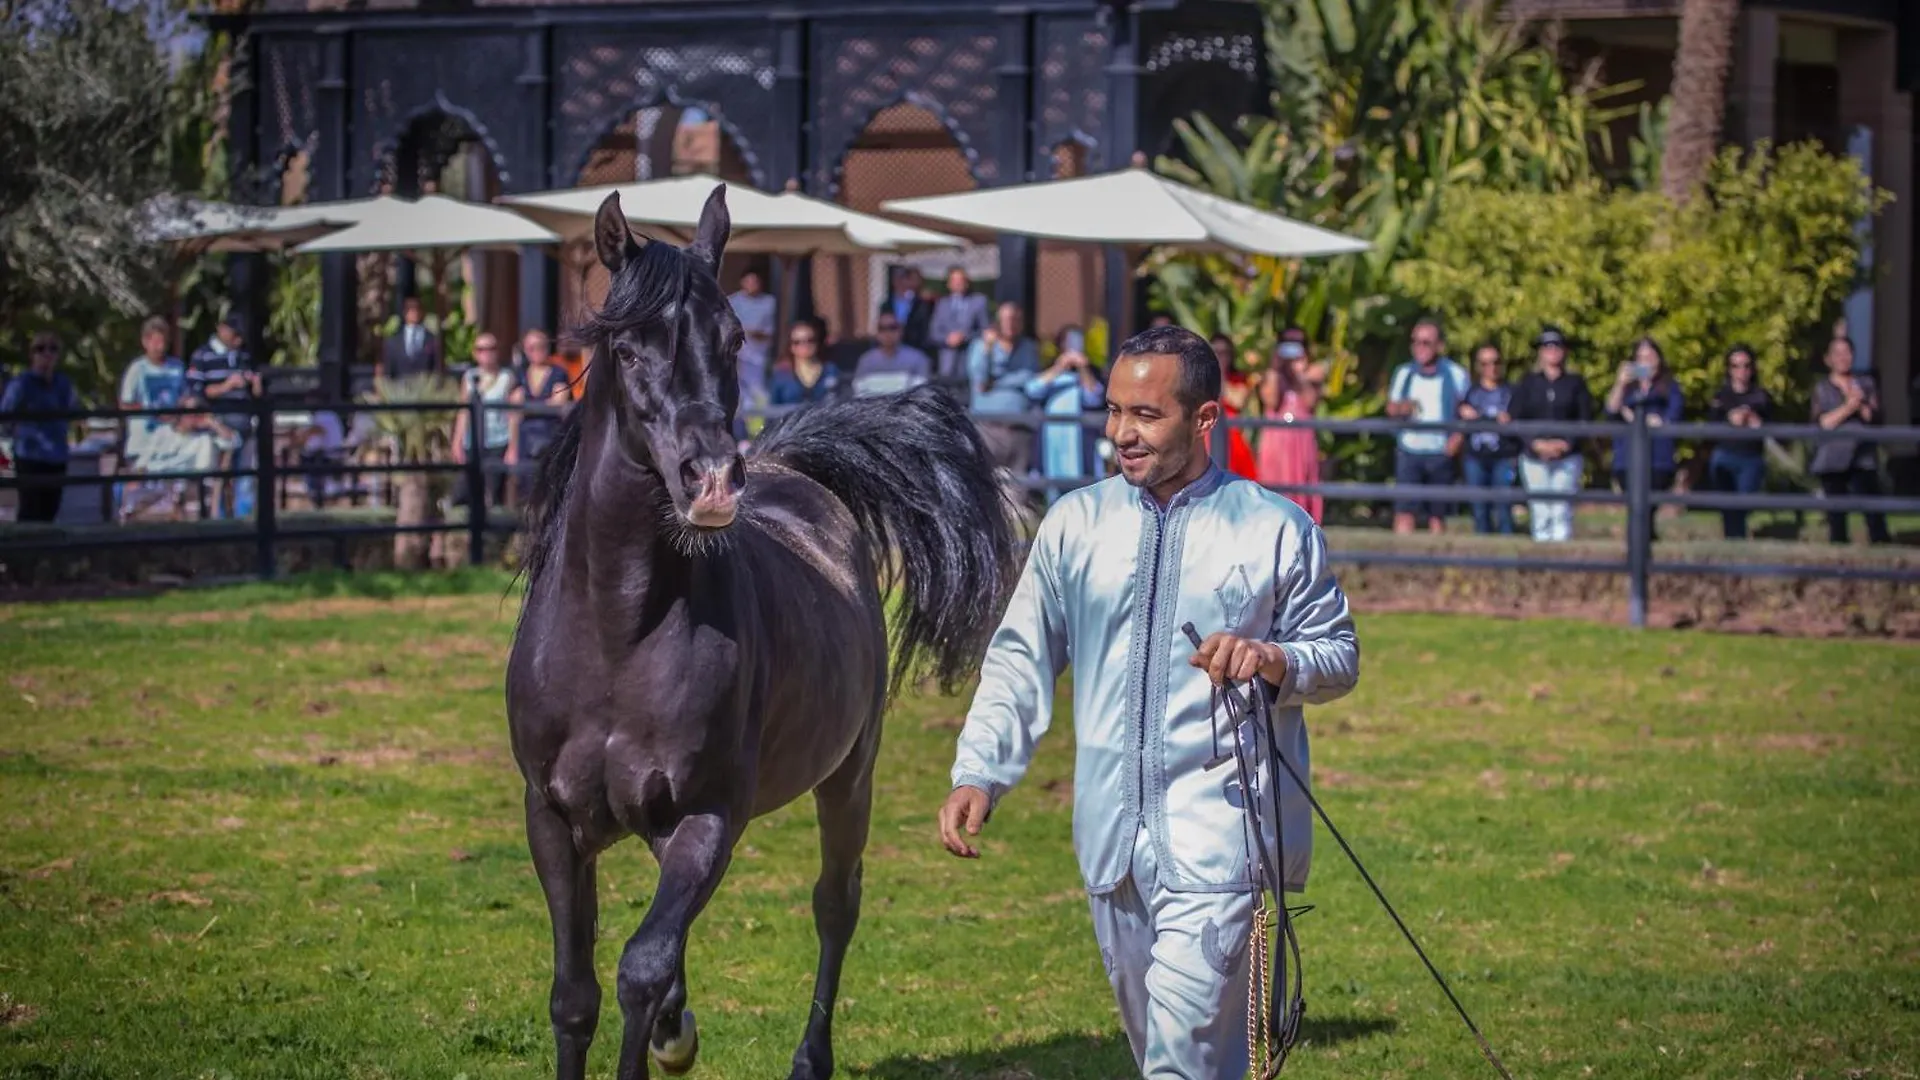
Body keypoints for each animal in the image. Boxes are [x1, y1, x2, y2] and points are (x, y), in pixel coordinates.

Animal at [510, 189, 1021, 1076]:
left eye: (735, 337)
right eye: (627, 347)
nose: (712, 480)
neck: (613, 636)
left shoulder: (713, 815)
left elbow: (641, 967)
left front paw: (664, 1035)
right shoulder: (553, 818)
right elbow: (575, 996)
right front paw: (669, 1029)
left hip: (849, 777)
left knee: (835, 906)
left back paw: (805, 1056)